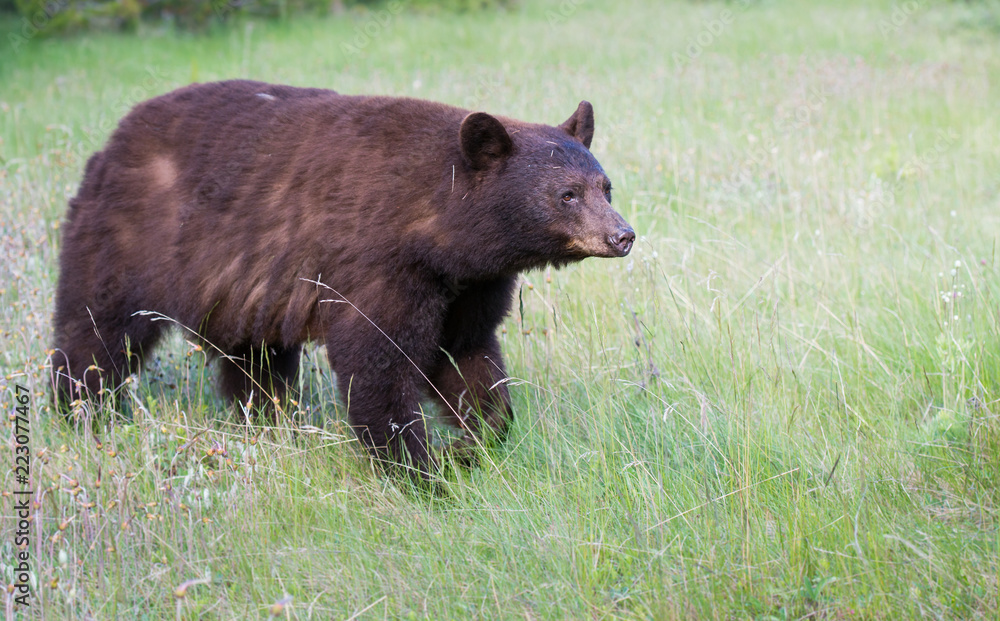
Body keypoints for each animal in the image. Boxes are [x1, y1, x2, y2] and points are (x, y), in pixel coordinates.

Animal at [50, 80, 634, 476]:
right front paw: (419, 472)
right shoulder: (379, 263)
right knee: (95, 333)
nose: (622, 235)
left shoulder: (469, 284)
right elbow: (376, 362)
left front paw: (477, 441)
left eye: (605, 186)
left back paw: (270, 421)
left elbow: (466, 354)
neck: (441, 225)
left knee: (256, 359)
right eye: (567, 195)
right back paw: (81, 412)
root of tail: (109, 143)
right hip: (126, 242)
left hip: (243, 291)